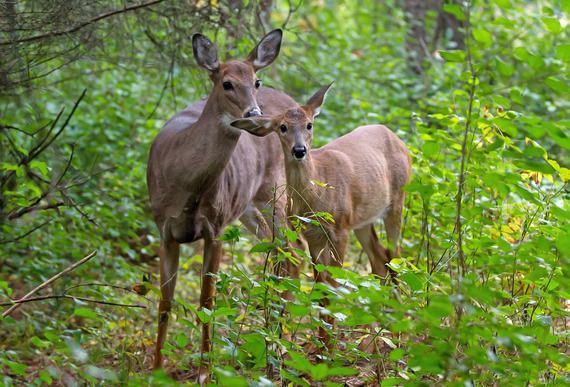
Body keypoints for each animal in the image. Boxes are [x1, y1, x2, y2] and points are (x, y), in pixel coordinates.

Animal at [146, 28, 298, 374]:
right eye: (226, 83)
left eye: (256, 81)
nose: (255, 115)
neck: (186, 187)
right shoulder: (164, 230)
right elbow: (164, 302)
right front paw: (156, 371)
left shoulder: (215, 229)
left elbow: (207, 301)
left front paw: (205, 372)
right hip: (248, 209)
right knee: (279, 253)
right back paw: (274, 340)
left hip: (276, 192)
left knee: (291, 252)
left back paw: (283, 345)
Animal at [229, 84, 410, 348]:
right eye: (282, 127)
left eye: (309, 124)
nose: (299, 150)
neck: (316, 197)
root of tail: (396, 137)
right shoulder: (313, 234)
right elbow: (321, 288)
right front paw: (321, 344)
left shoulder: (339, 230)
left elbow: (333, 285)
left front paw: (330, 347)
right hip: (363, 219)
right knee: (379, 258)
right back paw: (377, 333)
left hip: (397, 200)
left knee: (394, 257)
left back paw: (398, 329)